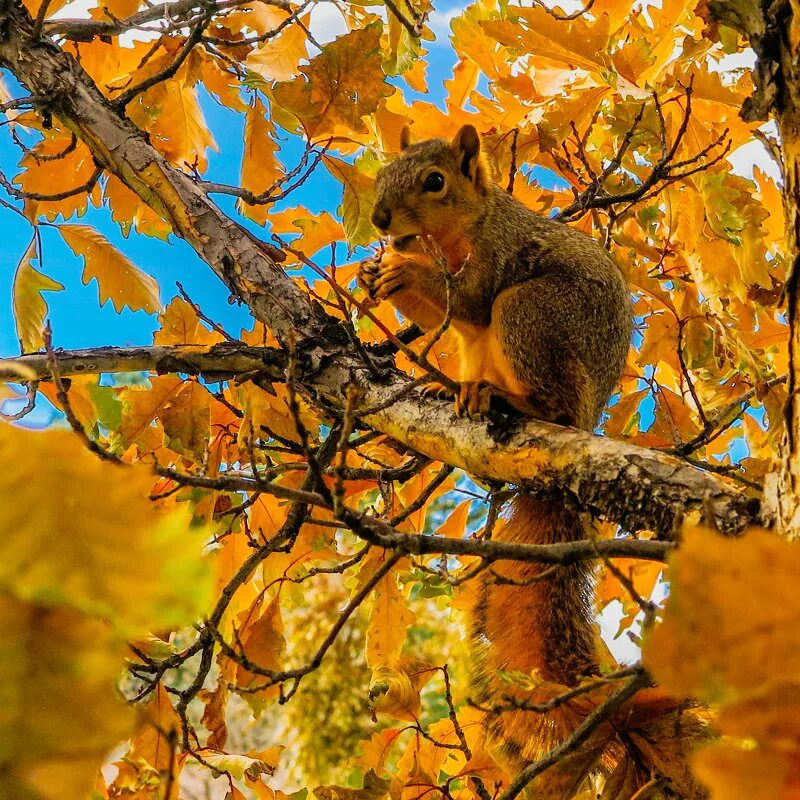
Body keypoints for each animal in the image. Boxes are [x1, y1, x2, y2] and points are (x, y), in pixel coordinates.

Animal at [360, 123, 708, 792]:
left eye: (435, 181)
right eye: (386, 172)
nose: (380, 219)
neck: (461, 229)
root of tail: (586, 415)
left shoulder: (498, 257)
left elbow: (469, 301)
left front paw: (401, 270)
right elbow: (447, 317)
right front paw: (378, 275)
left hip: (532, 312)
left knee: (536, 381)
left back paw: (509, 398)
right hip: (487, 348)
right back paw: (456, 390)